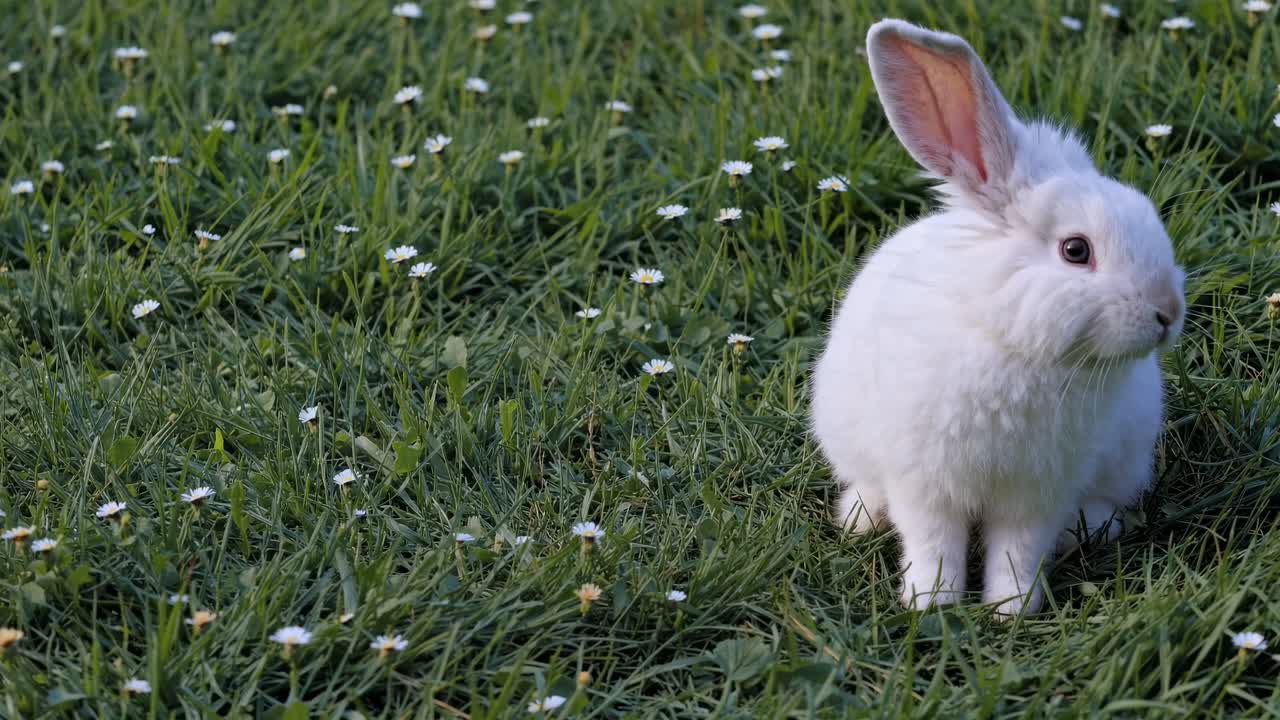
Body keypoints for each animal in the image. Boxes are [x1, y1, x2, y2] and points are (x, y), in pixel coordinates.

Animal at [810, 19, 1185, 618]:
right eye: (1076, 251)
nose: (1167, 313)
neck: (1010, 340)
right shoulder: (925, 481)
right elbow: (933, 541)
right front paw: (931, 602)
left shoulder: (1037, 492)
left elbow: (1018, 546)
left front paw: (1011, 609)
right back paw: (860, 518)